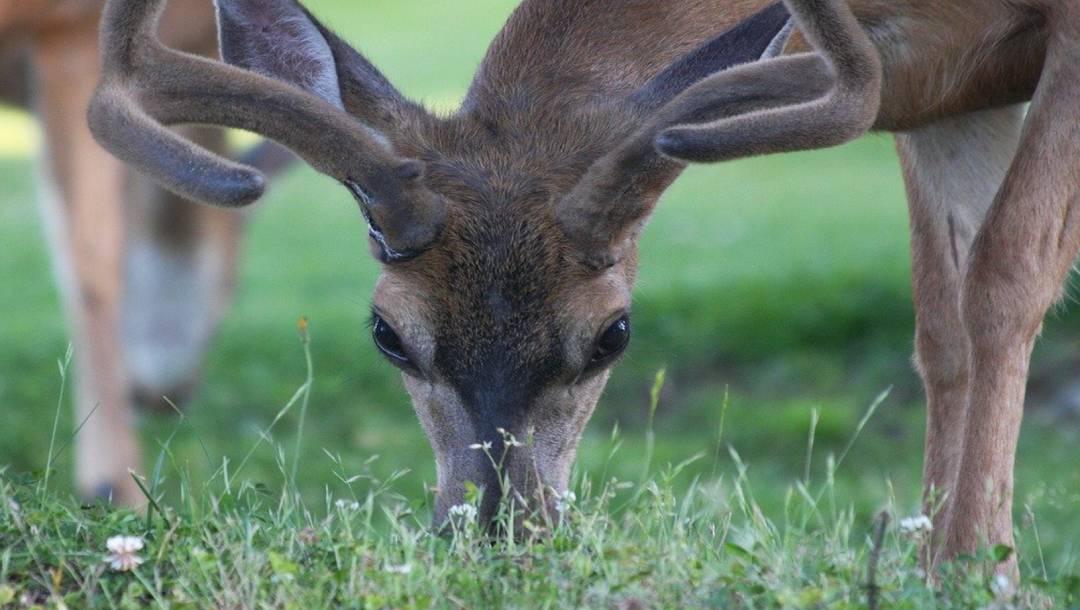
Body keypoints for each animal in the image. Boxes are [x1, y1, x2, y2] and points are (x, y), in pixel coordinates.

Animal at [86, 0, 1071, 578]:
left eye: (614, 334)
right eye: (387, 334)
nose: (500, 534)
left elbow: (1008, 268)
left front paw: (980, 569)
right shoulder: (944, 87)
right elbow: (941, 323)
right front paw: (937, 566)